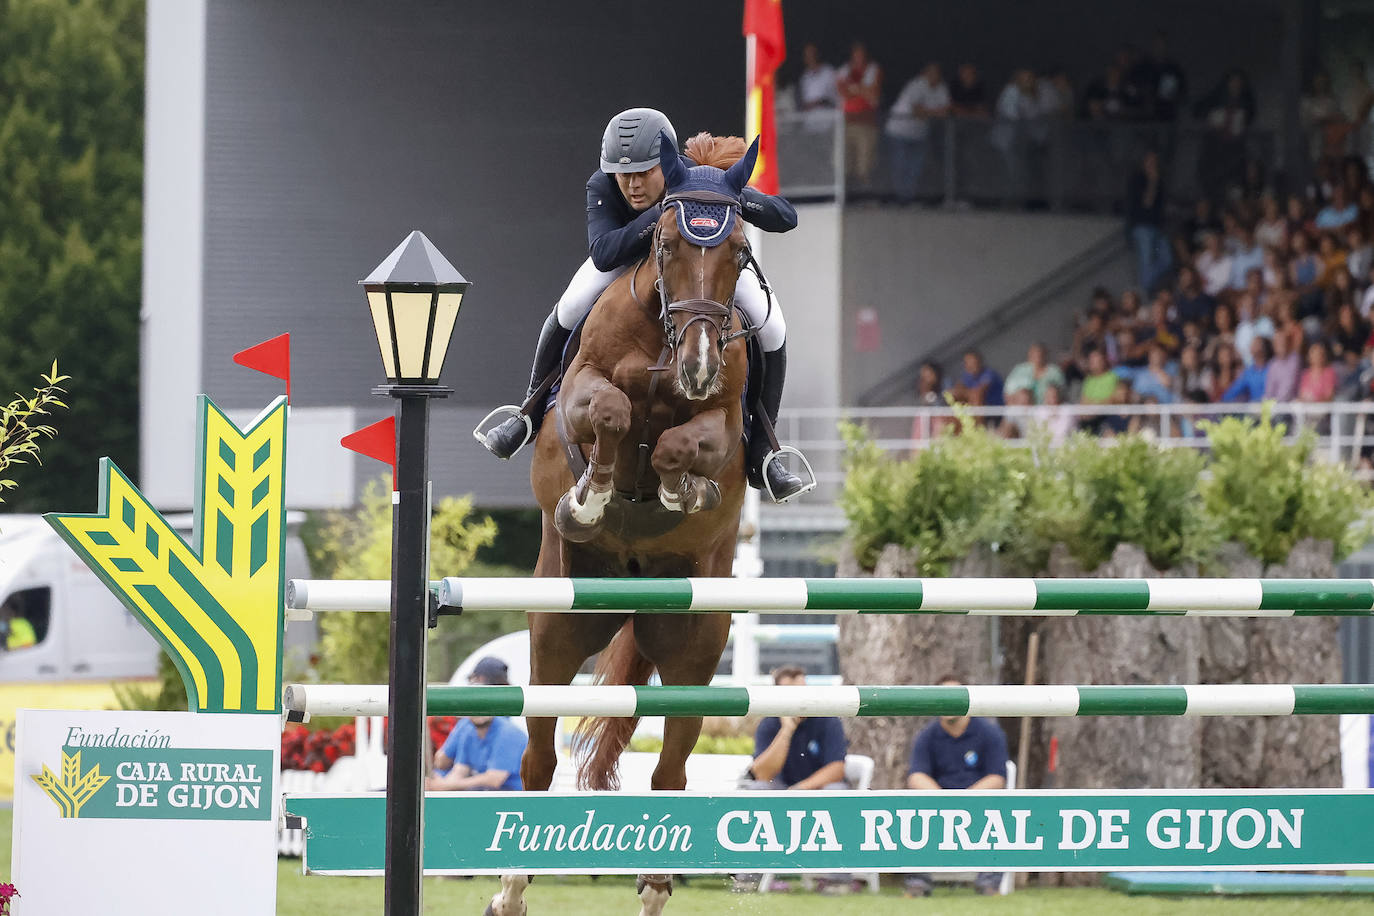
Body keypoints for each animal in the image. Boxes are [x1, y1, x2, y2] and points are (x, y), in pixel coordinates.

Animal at [486, 132, 758, 911]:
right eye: (662, 243)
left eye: (740, 253)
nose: (698, 364)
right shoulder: (583, 389)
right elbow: (607, 410)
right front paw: (592, 495)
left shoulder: (721, 423)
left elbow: (681, 444)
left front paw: (677, 490)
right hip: (554, 635)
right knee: (536, 760)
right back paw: (508, 890)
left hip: (696, 651)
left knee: (671, 771)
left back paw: (655, 886)